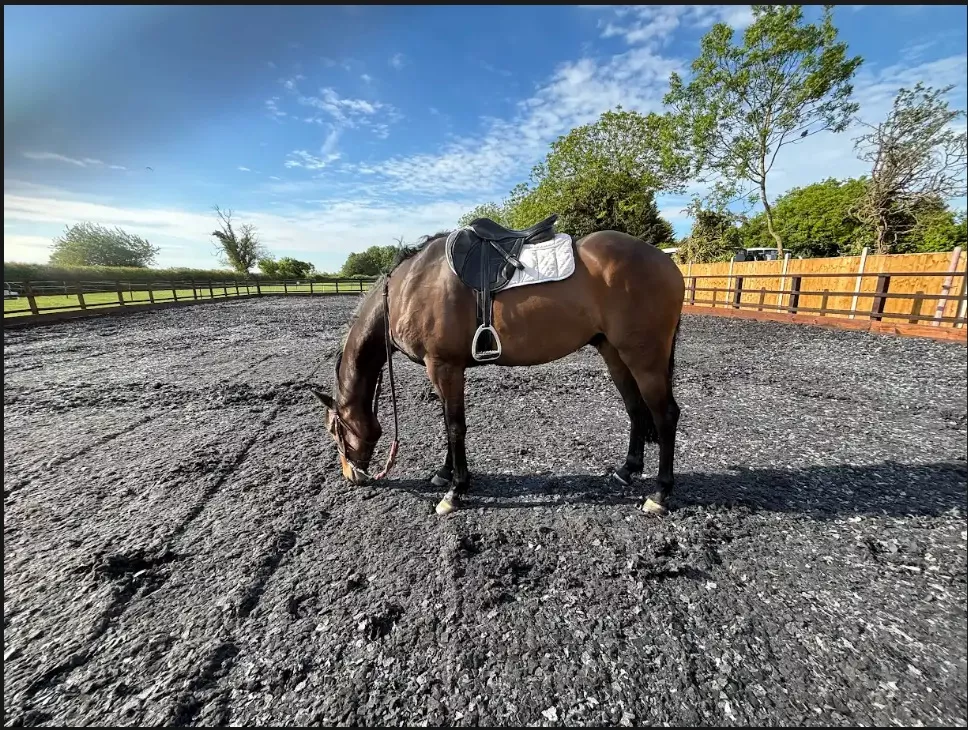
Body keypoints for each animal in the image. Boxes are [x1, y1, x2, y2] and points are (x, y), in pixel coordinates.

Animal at [310, 216, 685, 517]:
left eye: (334, 429)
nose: (351, 476)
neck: (409, 287)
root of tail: (665, 261)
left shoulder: (444, 367)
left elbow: (454, 427)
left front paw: (455, 491)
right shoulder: (445, 370)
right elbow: (448, 423)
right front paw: (445, 474)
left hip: (644, 357)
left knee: (665, 415)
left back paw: (660, 494)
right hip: (614, 353)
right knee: (635, 409)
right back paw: (627, 470)